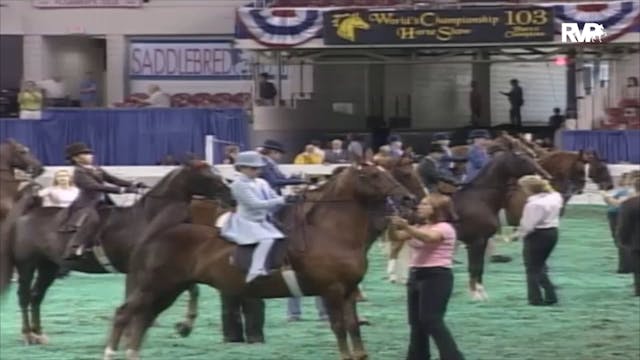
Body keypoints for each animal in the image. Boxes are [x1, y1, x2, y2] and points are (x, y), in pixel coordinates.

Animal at [0, 160, 234, 344]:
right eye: (207, 175)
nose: (231, 197)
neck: (152, 220)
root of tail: (29, 213)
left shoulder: (174, 268)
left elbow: (193, 290)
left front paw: (184, 327)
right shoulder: (141, 271)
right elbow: (134, 298)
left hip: (48, 266)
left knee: (36, 296)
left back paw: (39, 334)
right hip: (27, 265)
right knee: (24, 296)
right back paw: (28, 335)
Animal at [97, 164, 412, 360]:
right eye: (372, 175)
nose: (406, 198)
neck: (330, 231)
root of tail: (157, 233)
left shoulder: (347, 292)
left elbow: (352, 326)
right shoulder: (332, 290)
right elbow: (339, 326)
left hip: (167, 290)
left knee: (142, 318)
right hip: (154, 287)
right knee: (124, 314)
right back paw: (110, 353)